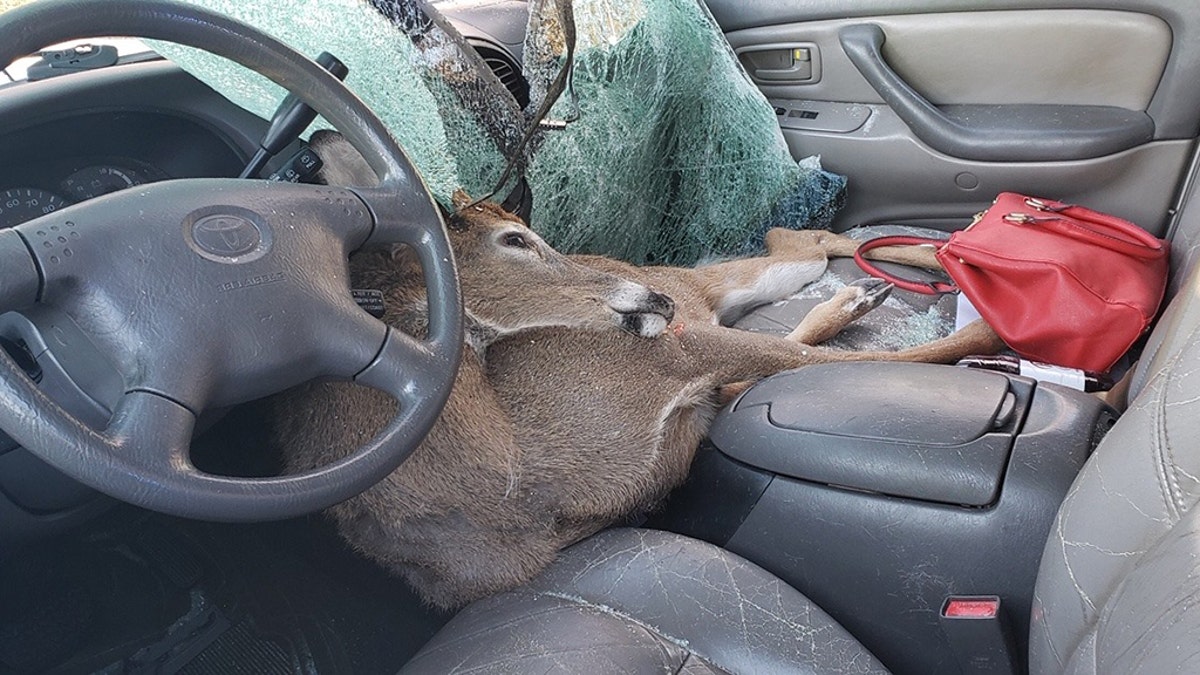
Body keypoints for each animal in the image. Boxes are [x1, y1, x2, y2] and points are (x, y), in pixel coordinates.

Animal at [265, 130, 1003, 605]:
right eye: (514, 239)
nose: (652, 300)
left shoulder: (673, 353)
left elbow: (839, 355)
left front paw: (992, 331)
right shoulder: (678, 377)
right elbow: (805, 359)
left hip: (715, 287)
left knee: (805, 238)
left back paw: (968, 255)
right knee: (796, 259)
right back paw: (876, 290)